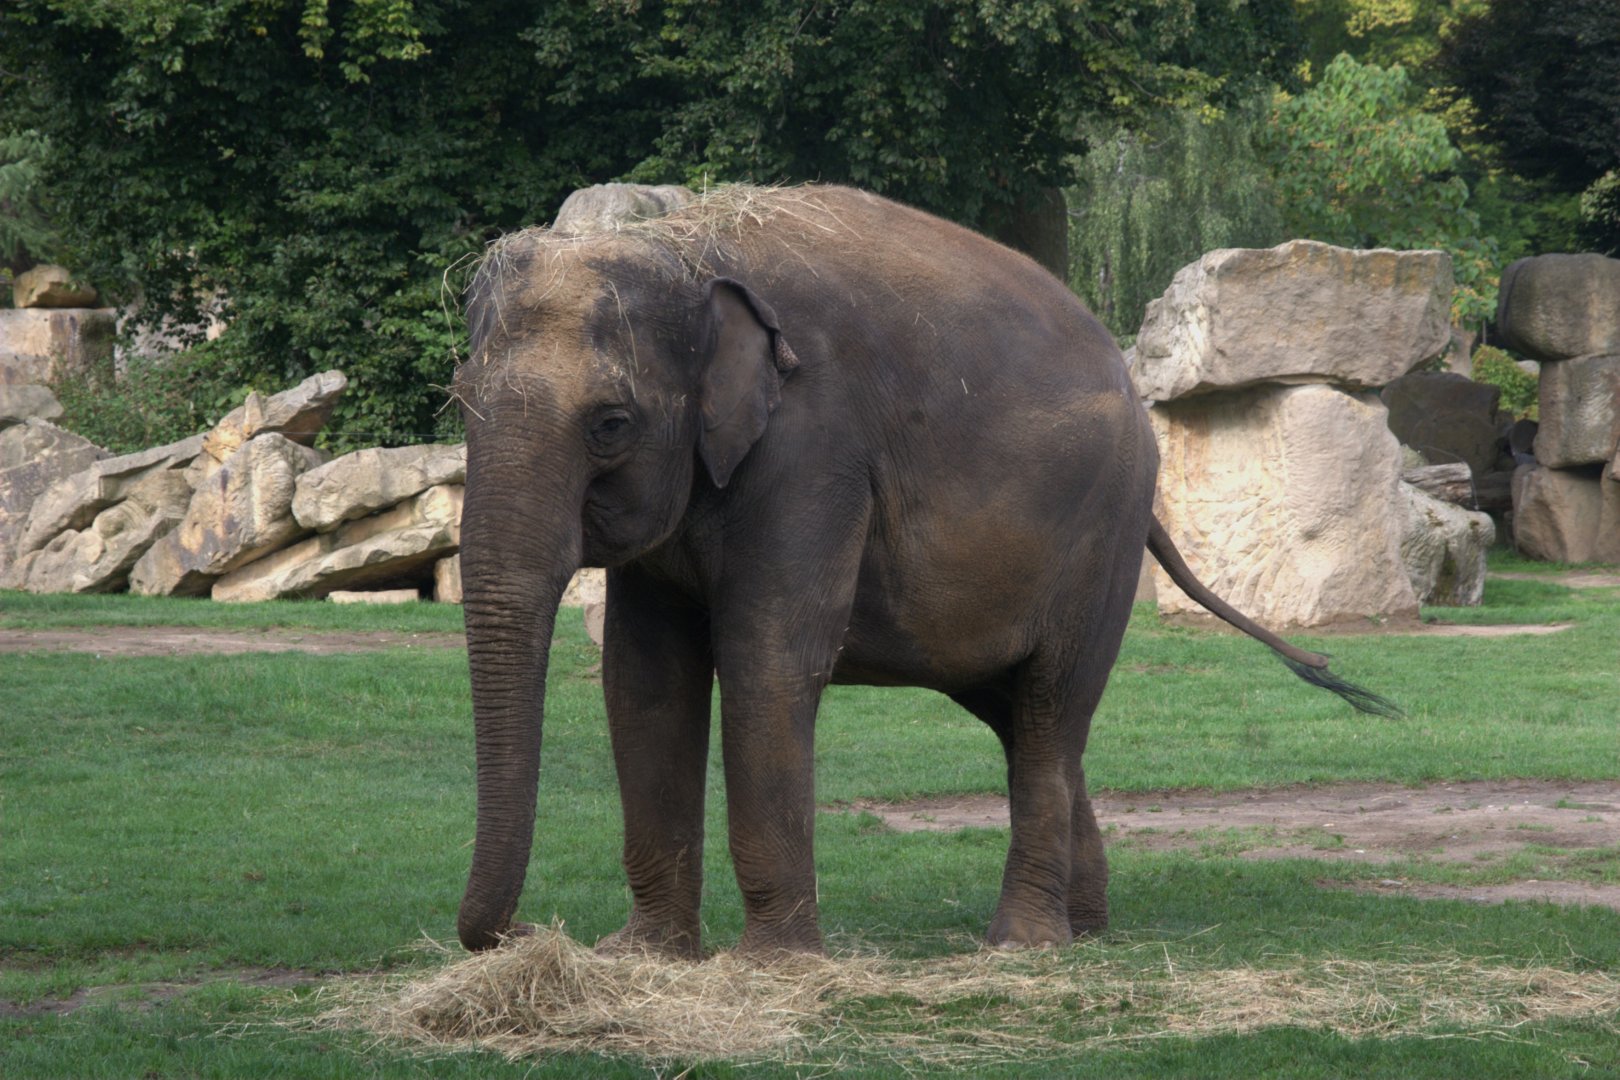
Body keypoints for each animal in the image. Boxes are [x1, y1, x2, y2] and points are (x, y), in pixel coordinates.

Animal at [450, 184, 1396, 958]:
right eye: (460, 403)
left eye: (611, 423)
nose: (527, 932)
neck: (687, 248)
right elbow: (644, 677)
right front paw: (641, 958)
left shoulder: (814, 450)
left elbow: (768, 659)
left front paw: (771, 967)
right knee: (1023, 719)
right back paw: (1085, 929)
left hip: (1101, 540)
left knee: (1050, 709)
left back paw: (1023, 947)